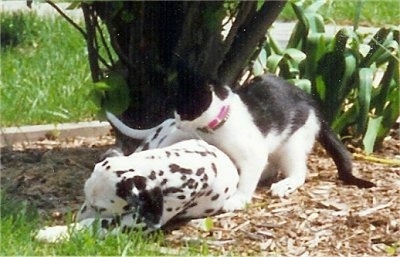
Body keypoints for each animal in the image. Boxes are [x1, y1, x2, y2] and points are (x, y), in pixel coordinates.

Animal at [35, 139, 238, 241]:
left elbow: (96, 223)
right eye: (84, 199)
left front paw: (54, 233)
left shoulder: (138, 222)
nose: (76, 218)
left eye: (100, 208)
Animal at [173, 65, 374, 210]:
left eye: (184, 112)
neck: (218, 126)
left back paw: (284, 185)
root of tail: (313, 104)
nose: (176, 123)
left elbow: (248, 178)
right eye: (175, 111)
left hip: (292, 141)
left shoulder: (254, 153)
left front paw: (238, 199)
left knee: (298, 173)